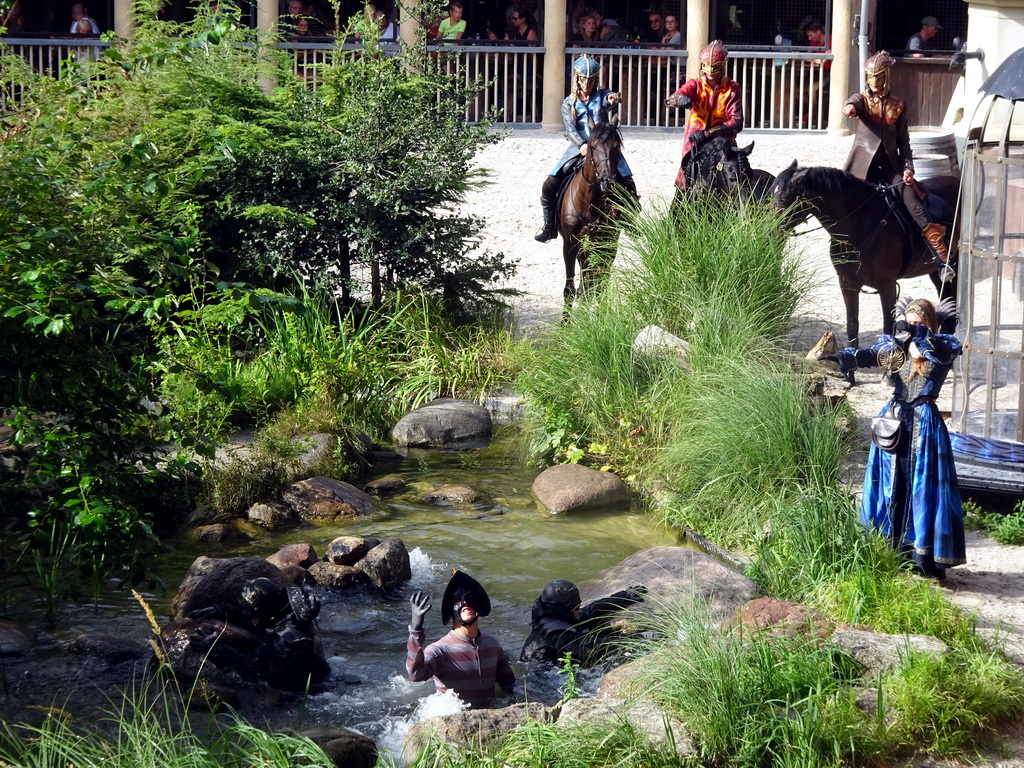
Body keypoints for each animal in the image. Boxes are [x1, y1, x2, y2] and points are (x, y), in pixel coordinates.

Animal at [557, 119, 626, 309]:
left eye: (616, 146)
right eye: (593, 146)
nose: (607, 181)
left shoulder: (606, 243)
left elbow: (598, 284)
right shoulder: (570, 244)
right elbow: (569, 289)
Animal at [774, 163, 958, 348]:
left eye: (782, 199)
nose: (770, 227)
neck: (859, 225)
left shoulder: (887, 285)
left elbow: (888, 327)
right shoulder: (847, 283)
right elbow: (852, 324)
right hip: (934, 270)